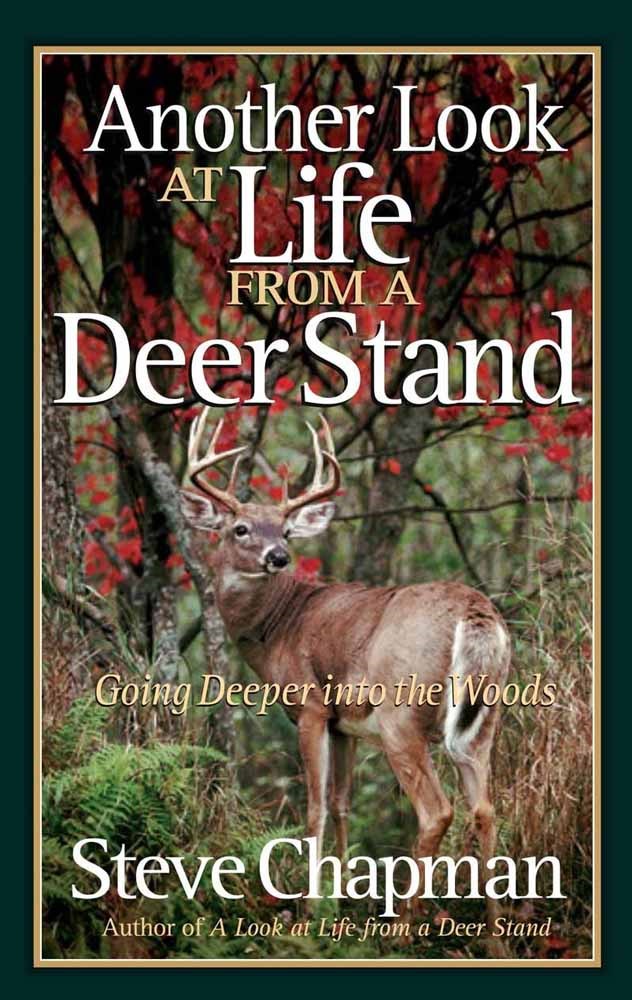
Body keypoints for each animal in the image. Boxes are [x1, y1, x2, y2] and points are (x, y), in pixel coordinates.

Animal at [180, 408, 511, 935]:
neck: (279, 626)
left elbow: (314, 808)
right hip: (485, 718)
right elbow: (341, 803)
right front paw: (343, 899)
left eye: (286, 531)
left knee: (437, 811)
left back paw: (402, 927)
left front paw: (309, 908)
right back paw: (496, 933)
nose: (279, 556)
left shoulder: (312, 707)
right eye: (241, 528)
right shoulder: (345, 725)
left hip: (402, 714)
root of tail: (475, 613)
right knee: (485, 808)